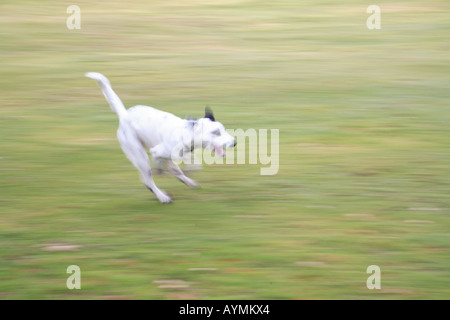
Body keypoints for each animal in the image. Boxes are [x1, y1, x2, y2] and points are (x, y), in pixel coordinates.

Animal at [85, 72, 237, 202]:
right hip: (140, 157)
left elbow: (192, 165)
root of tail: (124, 114)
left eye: (224, 130)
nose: (234, 142)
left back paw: (187, 181)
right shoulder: (157, 152)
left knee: (172, 171)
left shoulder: (183, 153)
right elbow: (159, 162)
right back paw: (163, 197)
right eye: (216, 132)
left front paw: (187, 171)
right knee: (148, 181)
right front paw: (160, 171)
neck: (186, 133)